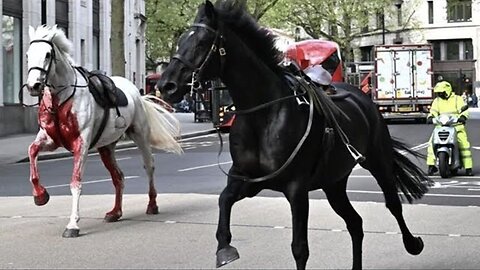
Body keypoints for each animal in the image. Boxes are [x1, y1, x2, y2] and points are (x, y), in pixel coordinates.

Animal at [25, 24, 184, 237]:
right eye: (27, 54)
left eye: (48, 54)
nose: (33, 86)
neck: (62, 99)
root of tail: (137, 93)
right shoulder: (50, 140)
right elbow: (32, 151)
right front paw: (40, 195)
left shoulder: (81, 144)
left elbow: (76, 182)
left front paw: (73, 224)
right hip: (106, 147)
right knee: (118, 176)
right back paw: (115, 212)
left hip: (140, 135)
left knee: (149, 166)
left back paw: (152, 205)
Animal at [158, 1, 432, 268]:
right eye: (180, 41)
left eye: (202, 42)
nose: (165, 85)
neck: (263, 116)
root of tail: (362, 96)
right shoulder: (247, 180)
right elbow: (223, 201)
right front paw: (224, 248)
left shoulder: (296, 188)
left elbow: (300, 248)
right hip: (333, 182)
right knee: (355, 223)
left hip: (378, 160)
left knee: (392, 204)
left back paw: (413, 243)